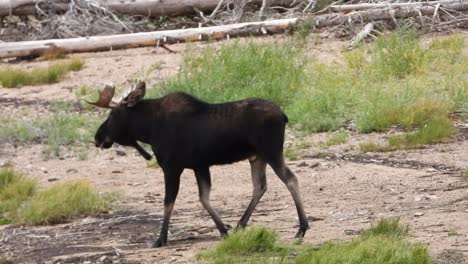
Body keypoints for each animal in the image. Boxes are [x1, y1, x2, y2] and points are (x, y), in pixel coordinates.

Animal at [89, 81, 308, 248]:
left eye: (113, 114)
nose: (97, 137)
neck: (148, 130)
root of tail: (283, 116)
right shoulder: (199, 166)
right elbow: (204, 198)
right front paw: (224, 230)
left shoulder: (171, 167)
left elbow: (169, 202)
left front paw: (161, 239)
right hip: (257, 157)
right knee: (260, 186)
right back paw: (240, 224)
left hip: (271, 152)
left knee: (291, 179)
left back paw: (302, 228)